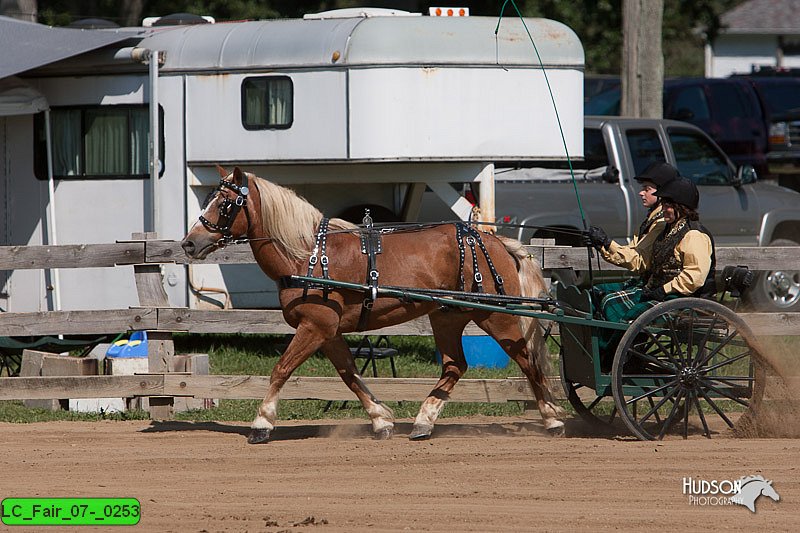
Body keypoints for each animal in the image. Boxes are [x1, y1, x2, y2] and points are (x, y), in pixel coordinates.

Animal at [181, 168, 564, 442]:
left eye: (224, 204)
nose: (188, 243)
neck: (307, 255)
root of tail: (493, 240)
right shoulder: (328, 331)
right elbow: (349, 373)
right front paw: (381, 420)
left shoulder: (314, 327)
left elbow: (282, 369)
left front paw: (262, 423)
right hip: (448, 318)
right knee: (455, 366)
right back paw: (423, 421)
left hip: (495, 317)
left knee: (527, 361)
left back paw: (552, 418)